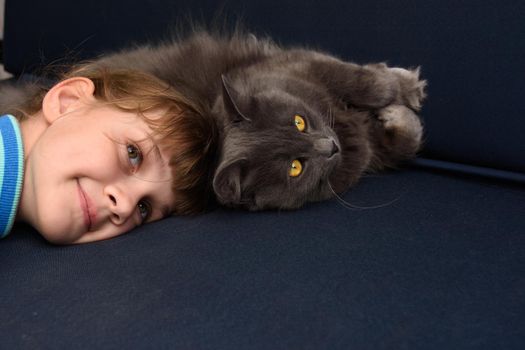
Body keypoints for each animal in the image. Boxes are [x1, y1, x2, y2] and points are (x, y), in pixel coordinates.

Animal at [1, 30, 426, 209]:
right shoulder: (363, 150)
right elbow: (398, 142)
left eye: (299, 122)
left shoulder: (300, 64)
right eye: (295, 167)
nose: (331, 146)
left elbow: (363, 82)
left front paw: (405, 89)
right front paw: (399, 111)